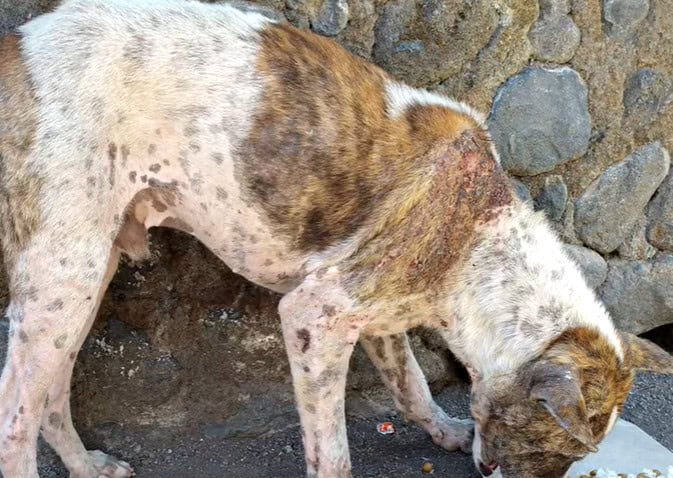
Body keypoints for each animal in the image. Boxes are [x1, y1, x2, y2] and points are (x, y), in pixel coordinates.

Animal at [1, 1, 672, 477]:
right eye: (562, 445)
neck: (477, 238)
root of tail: (15, 44)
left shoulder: (377, 318)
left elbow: (412, 385)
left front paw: (446, 431)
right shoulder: (315, 318)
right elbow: (334, 454)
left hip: (89, 275)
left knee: (51, 395)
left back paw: (88, 468)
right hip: (63, 278)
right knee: (16, 410)